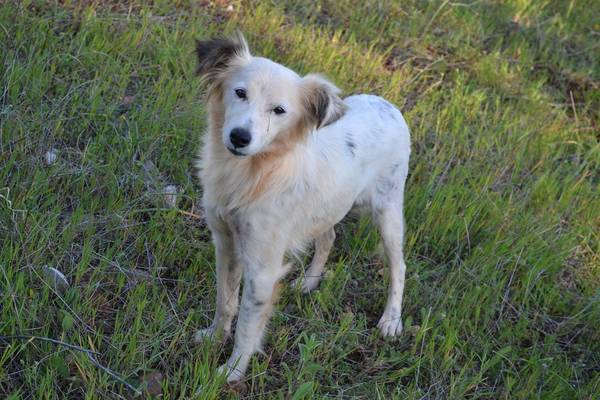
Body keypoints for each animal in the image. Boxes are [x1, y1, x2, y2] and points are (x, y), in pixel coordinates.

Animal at [193, 32, 411, 382]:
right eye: (240, 92)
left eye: (279, 110)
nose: (240, 137)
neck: (254, 173)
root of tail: (388, 104)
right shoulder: (225, 243)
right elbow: (224, 302)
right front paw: (214, 337)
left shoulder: (263, 269)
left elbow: (247, 326)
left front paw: (232, 371)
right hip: (327, 206)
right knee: (329, 237)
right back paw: (309, 282)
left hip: (389, 212)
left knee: (399, 266)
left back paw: (391, 319)